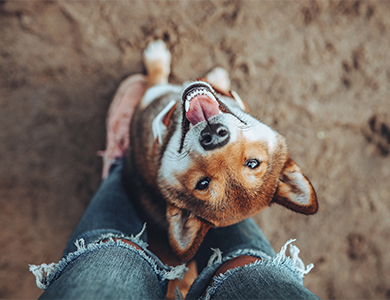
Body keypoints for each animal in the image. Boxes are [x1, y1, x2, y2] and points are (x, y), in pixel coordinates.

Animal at [123, 40, 318, 264]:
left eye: (253, 163)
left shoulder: (150, 95)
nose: (214, 137)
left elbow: (154, 77)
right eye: (202, 183)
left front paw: (156, 59)